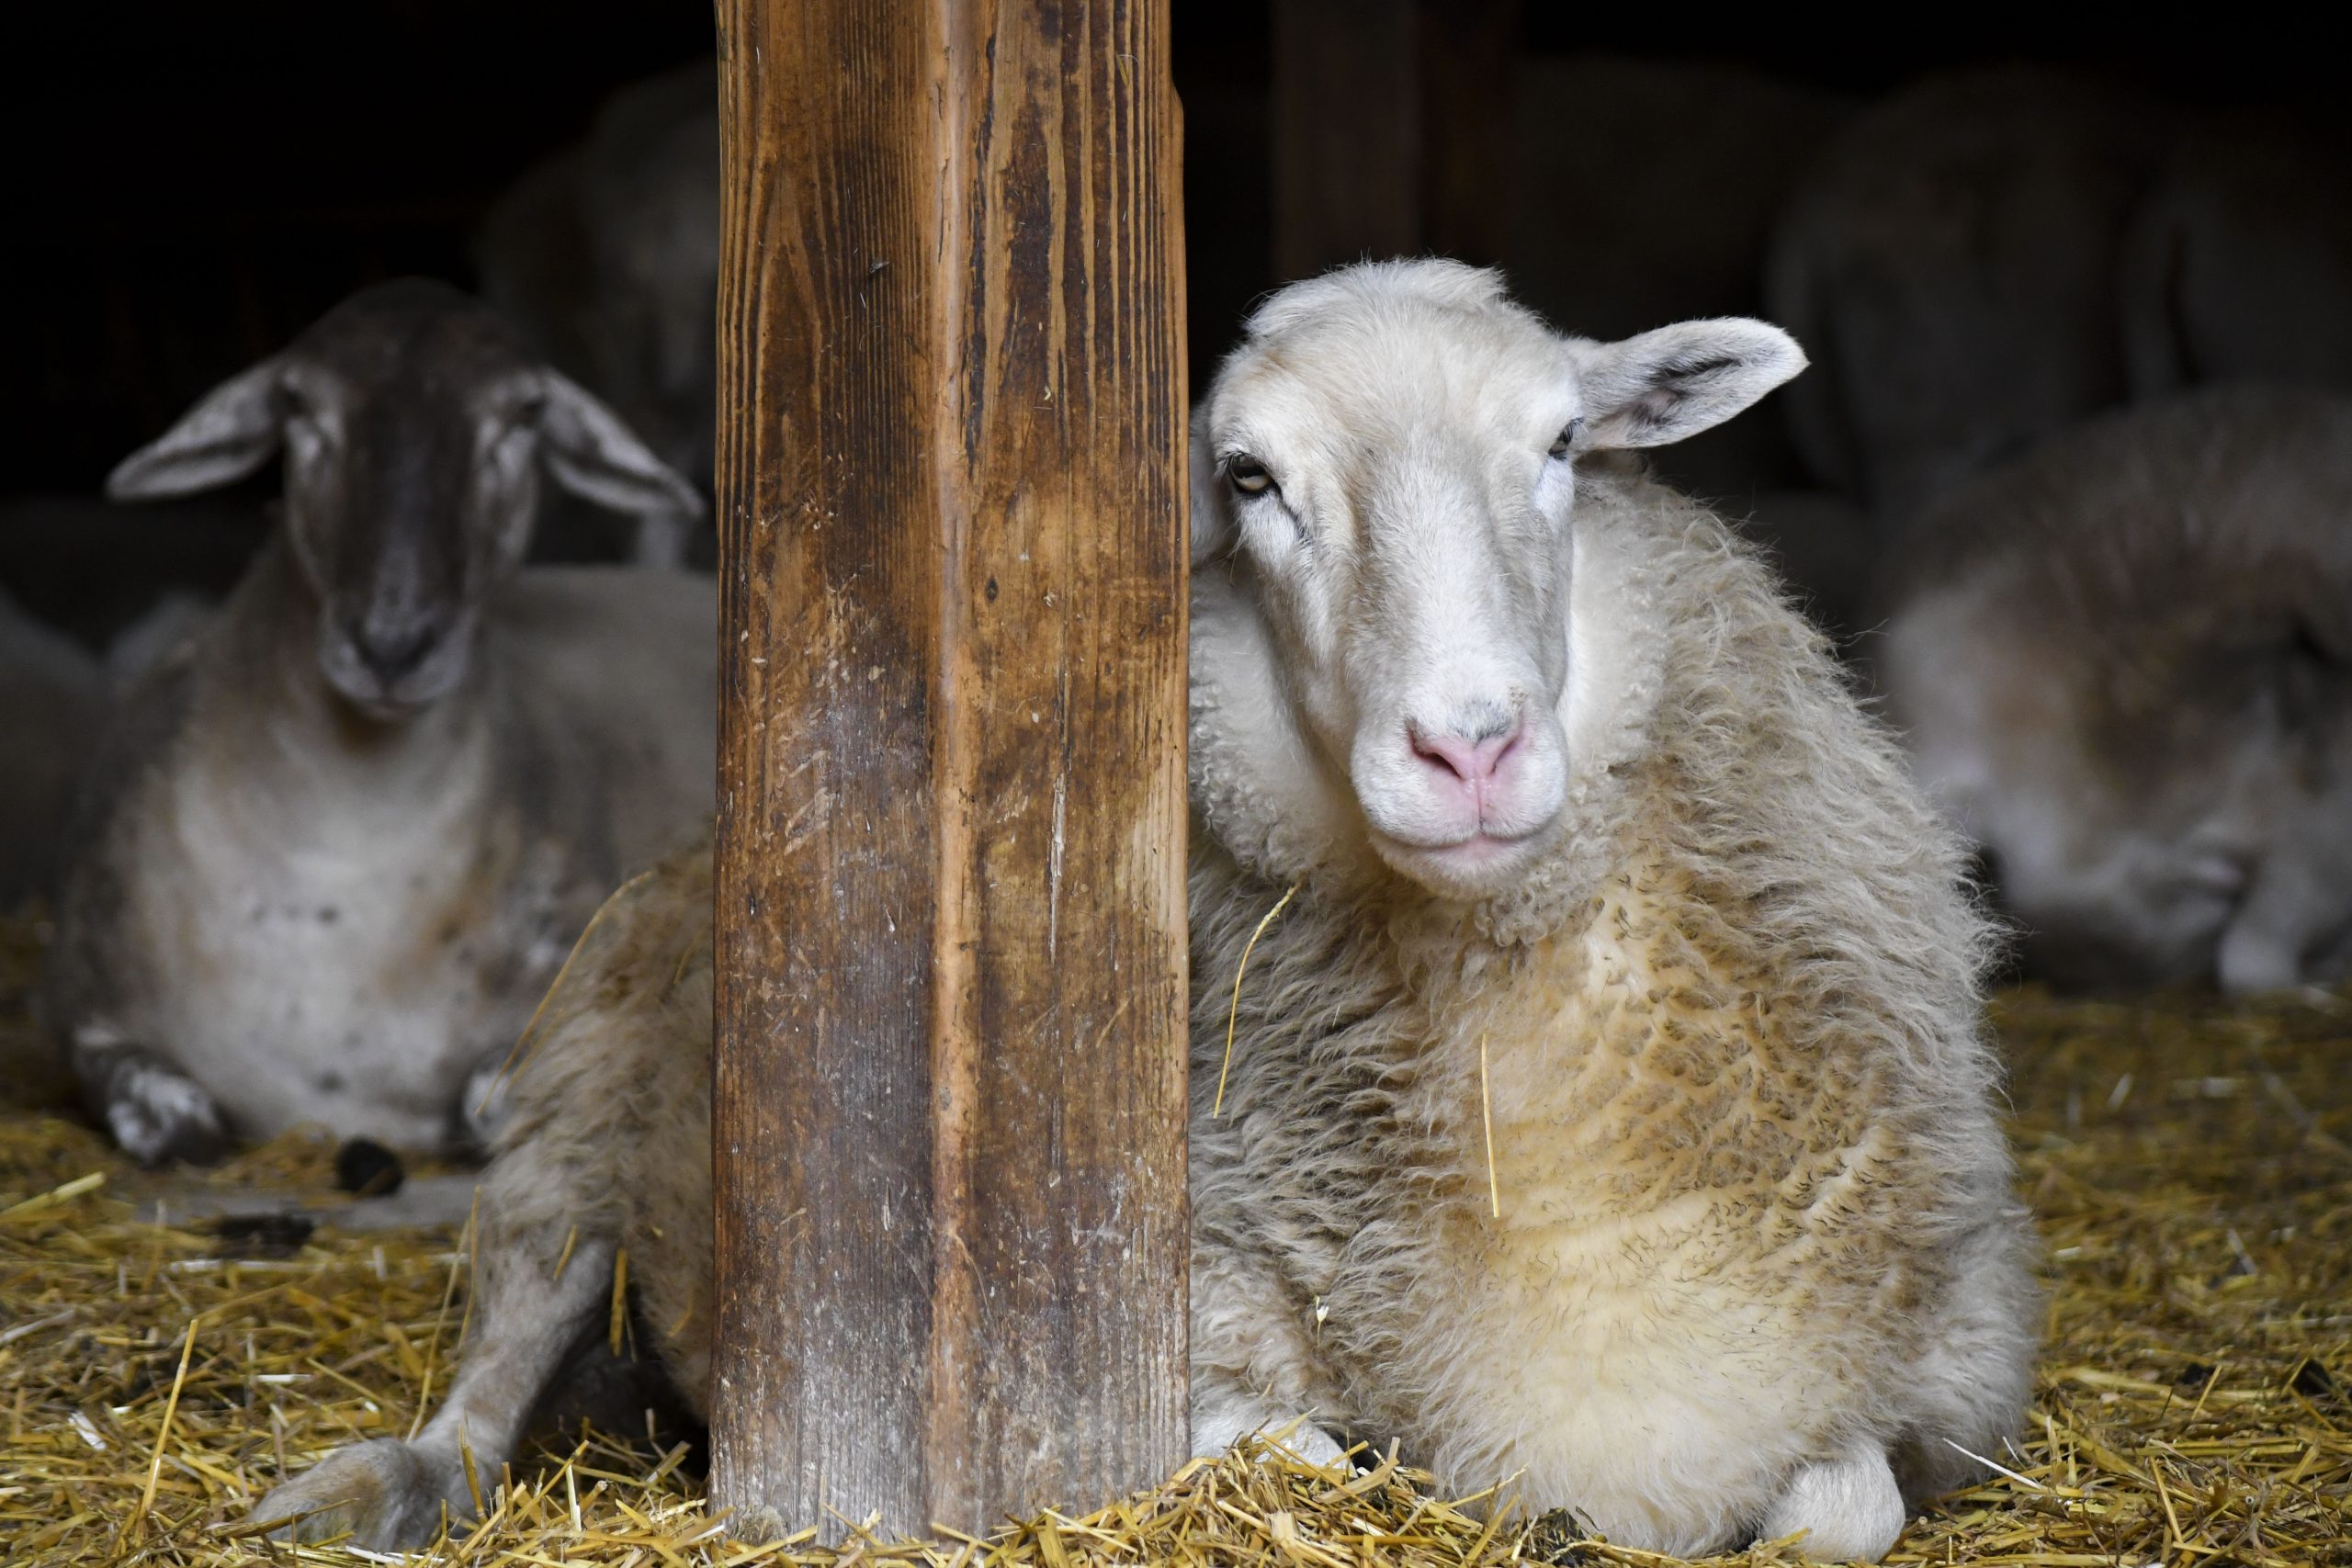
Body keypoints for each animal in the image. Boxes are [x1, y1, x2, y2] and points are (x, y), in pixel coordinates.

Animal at [43, 278, 706, 1166]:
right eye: (297, 402)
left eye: (525, 414)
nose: (393, 640)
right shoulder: (84, 1014)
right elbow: (170, 1121)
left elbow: (491, 1104)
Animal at [253, 263, 2041, 1561]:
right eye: (1248, 480)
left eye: (1558, 447)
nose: (1469, 746)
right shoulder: (1146, 1347)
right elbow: (1312, 1451)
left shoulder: (1936, 1382)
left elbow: (1844, 1502)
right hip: (573, 1109)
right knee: (491, 1368)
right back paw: (374, 1489)